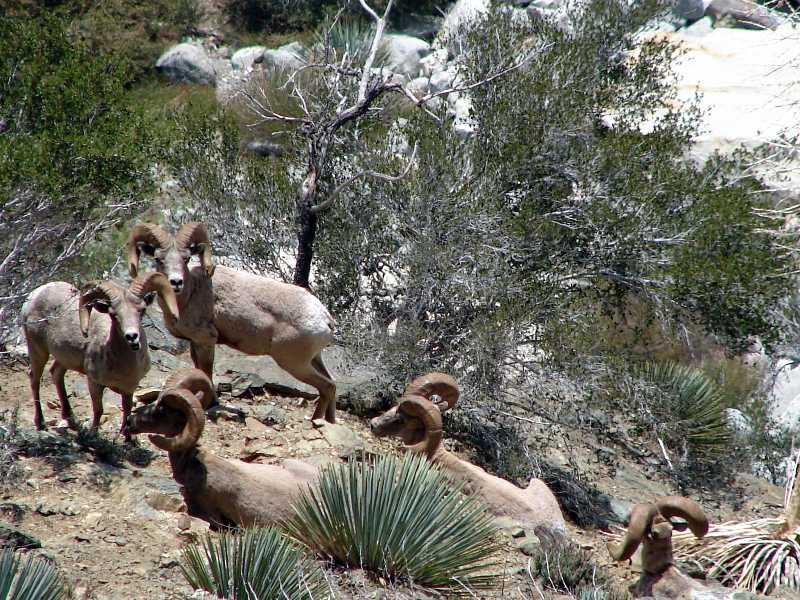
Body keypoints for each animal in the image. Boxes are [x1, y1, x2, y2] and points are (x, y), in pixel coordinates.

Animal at [21, 274, 177, 440]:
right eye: (113, 315)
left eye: (142, 310)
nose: (132, 337)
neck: (123, 366)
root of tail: (35, 294)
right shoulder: (94, 383)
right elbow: (98, 409)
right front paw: (92, 434)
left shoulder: (129, 388)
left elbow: (127, 410)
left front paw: (129, 438)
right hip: (37, 350)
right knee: (34, 379)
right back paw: (41, 423)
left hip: (64, 359)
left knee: (56, 373)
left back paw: (71, 420)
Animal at [126, 223, 338, 424]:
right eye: (158, 259)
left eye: (185, 259)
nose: (176, 282)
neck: (189, 295)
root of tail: (325, 319)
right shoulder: (195, 343)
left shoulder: (206, 341)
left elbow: (206, 372)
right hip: (313, 360)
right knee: (332, 384)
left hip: (294, 364)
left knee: (326, 386)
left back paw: (316, 420)